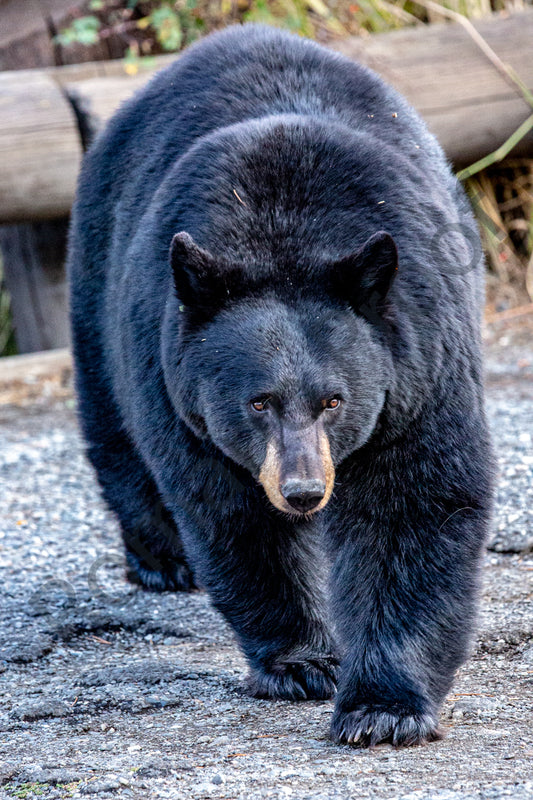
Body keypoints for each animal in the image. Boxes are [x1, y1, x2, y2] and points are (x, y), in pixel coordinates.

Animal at [68, 26, 492, 752]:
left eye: (334, 400)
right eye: (258, 402)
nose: (302, 492)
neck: (282, 238)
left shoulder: (421, 357)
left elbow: (416, 501)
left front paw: (381, 708)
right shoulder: (179, 385)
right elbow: (233, 515)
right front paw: (304, 662)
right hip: (102, 277)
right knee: (112, 423)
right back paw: (160, 559)